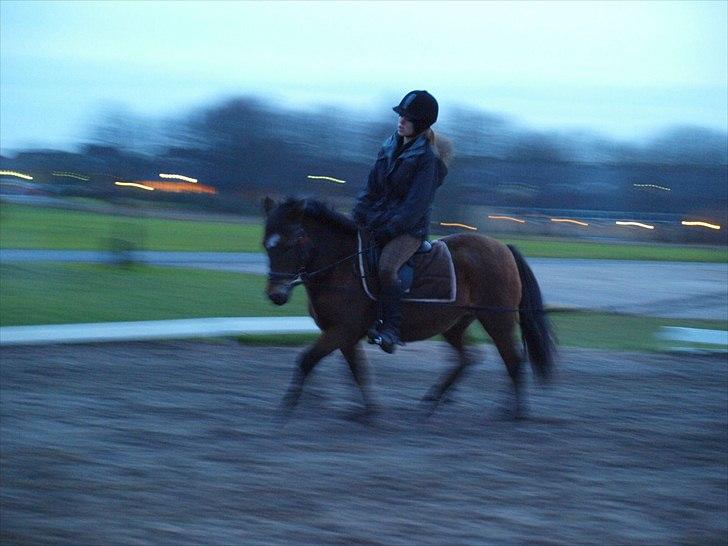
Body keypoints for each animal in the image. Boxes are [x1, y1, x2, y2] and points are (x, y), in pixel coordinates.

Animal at [264, 196, 556, 416]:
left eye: (292, 242)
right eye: (267, 245)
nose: (276, 295)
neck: (342, 266)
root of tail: (503, 248)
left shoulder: (343, 330)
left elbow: (306, 360)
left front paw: (286, 408)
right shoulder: (343, 335)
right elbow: (357, 371)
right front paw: (369, 411)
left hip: (498, 320)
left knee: (513, 360)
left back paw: (513, 412)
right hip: (454, 324)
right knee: (469, 358)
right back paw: (432, 401)